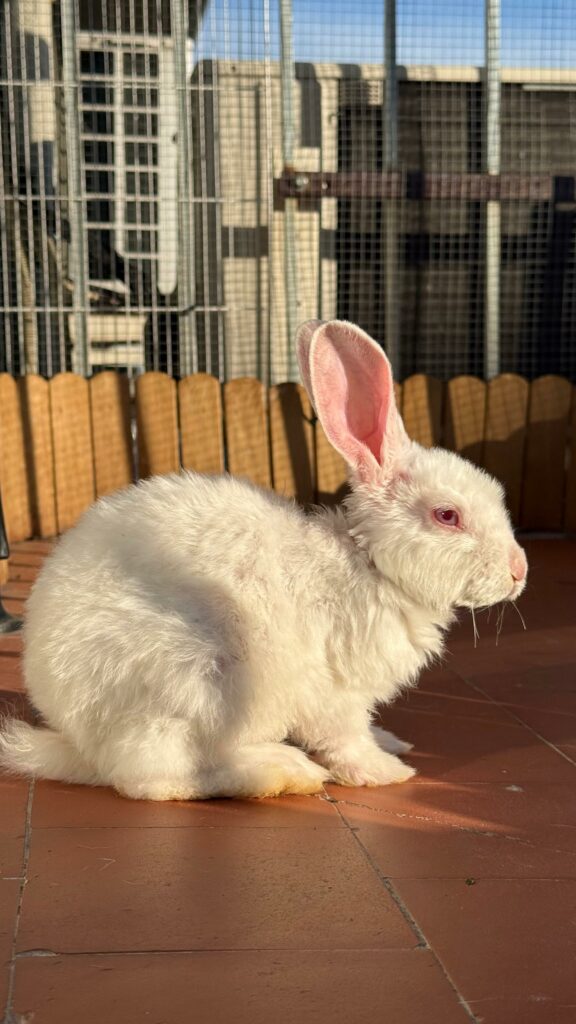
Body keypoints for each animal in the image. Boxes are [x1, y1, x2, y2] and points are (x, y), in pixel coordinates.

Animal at [0, 320, 527, 801]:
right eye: (447, 516)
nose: (519, 572)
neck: (368, 562)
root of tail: (77, 740)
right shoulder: (333, 692)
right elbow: (346, 739)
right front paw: (384, 771)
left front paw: (392, 742)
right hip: (198, 682)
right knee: (154, 777)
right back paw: (283, 770)